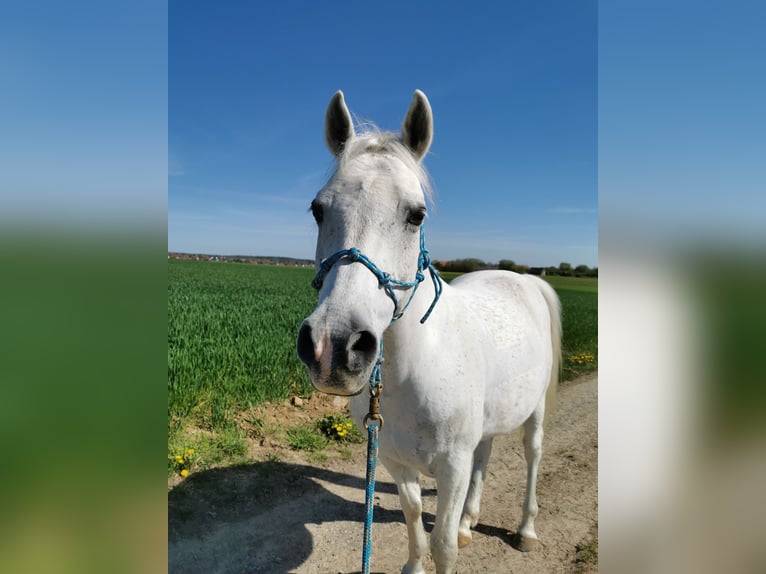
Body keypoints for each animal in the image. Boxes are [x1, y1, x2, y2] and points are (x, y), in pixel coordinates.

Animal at [300, 91, 564, 574]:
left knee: (533, 456)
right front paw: (416, 562)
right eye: (318, 209)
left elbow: (441, 544)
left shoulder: (452, 467)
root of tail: (523, 279)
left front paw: (451, 540)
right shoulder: (394, 460)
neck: (416, 368)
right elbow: (413, 518)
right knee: (486, 452)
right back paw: (470, 521)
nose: (334, 347)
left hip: (533, 415)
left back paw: (526, 530)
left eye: (416, 214)